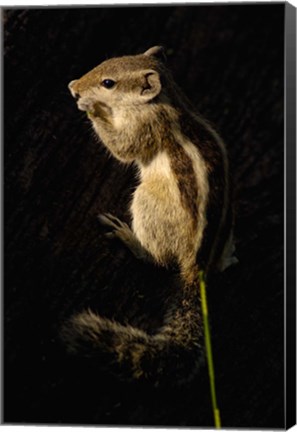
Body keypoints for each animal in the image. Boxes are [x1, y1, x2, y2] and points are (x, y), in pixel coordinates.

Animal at [62, 46, 236, 384]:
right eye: (104, 62)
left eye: (108, 83)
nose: (73, 87)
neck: (166, 96)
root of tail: (197, 269)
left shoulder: (144, 125)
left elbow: (122, 148)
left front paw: (92, 107)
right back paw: (230, 258)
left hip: (146, 202)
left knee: (157, 259)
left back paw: (129, 238)